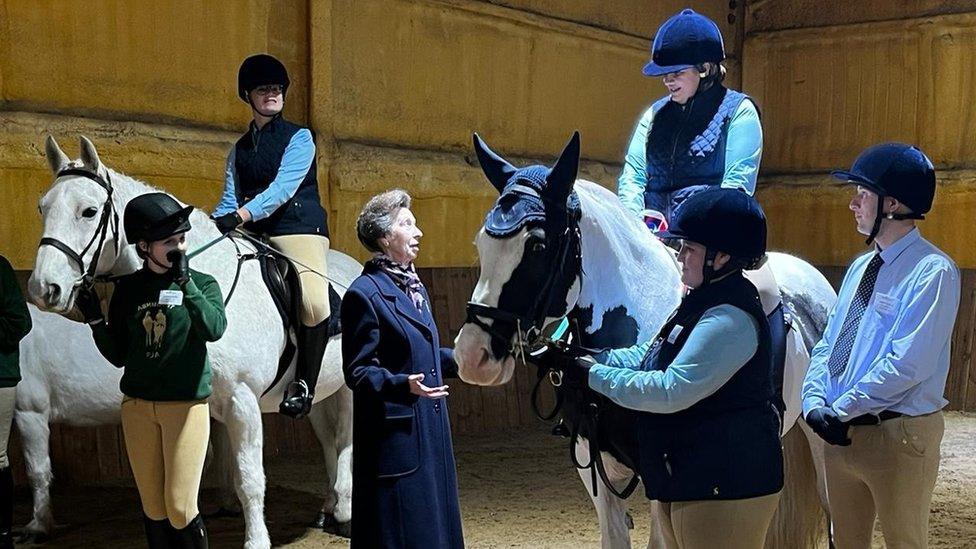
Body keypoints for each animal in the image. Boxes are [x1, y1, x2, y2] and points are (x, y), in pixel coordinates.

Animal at [27, 137, 358, 548]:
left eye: (88, 211)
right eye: (42, 207)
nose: (43, 288)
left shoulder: (242, 400)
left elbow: (249, 479)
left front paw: (256, 541)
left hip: (349, 387)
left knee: (345, 440)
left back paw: (344, 513)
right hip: (319, 389)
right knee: (329, 440)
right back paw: (328, 508)